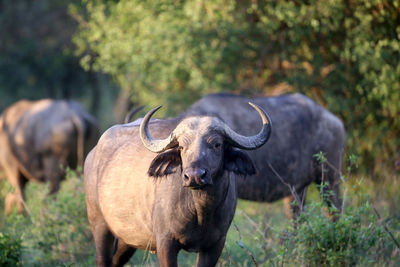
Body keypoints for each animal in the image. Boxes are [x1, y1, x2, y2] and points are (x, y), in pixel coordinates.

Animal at [84, 103, 272, 267]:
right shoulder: (166, 243)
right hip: (99, 225)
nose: (194, 176)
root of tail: (92, 155)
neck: (200, 210)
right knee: (102, 259)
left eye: (217, 144)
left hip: (127, 237)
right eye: (181, 146)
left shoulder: (215, 245)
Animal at [186, 93, 346, 219]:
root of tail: (335, 121)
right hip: (296, 190)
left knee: (335, 211)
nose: (196, 174)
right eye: (184, 145)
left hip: (329, 179)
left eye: (216, 144)